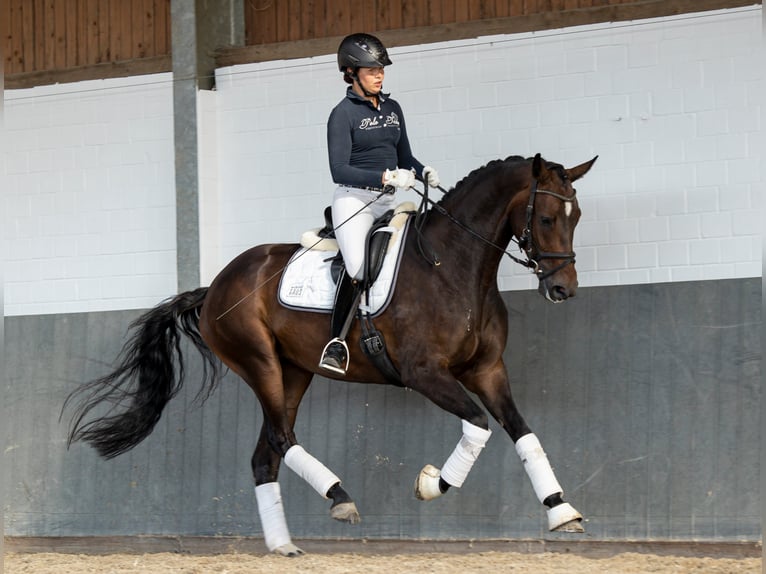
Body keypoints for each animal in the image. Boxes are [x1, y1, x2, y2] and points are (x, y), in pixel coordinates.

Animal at [66, 153, 600, 560]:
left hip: (295, 371)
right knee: (282, 438)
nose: (563, 289)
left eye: (576, 218)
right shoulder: (425, 374)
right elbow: (479, 427)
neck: (452, 267)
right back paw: (340, 498)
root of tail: (215, 286)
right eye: (547, 218)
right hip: (259, 363)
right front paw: (432, 484)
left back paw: (284, 546)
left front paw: (561, 510)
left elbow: (522, 432)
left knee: (265, 454)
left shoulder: (488, 371)